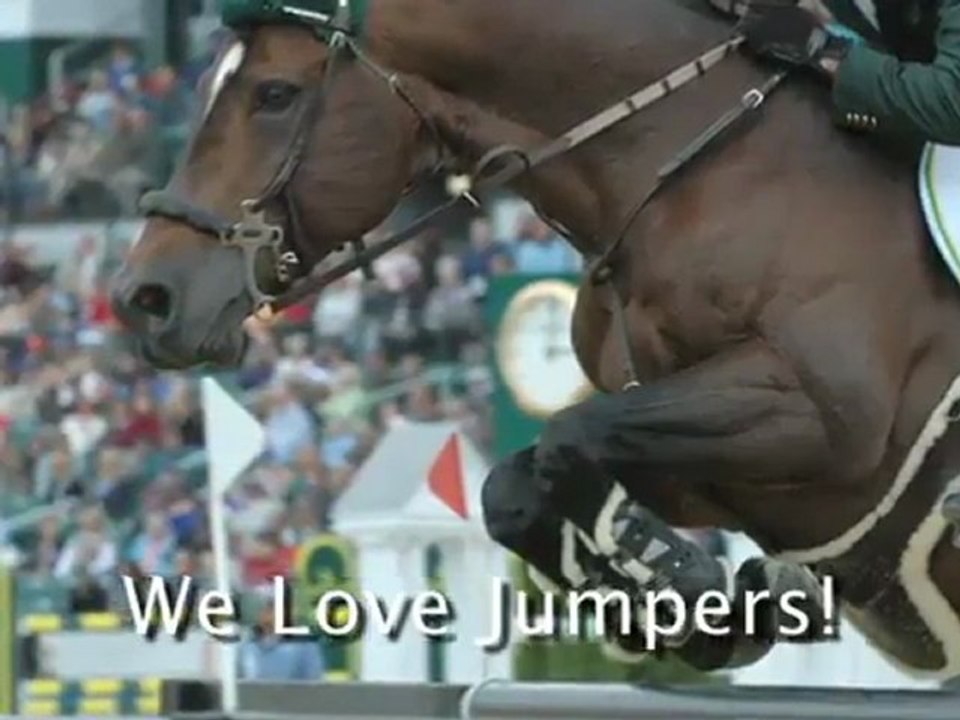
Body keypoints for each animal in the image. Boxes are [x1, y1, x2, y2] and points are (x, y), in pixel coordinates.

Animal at [110, 0, 960, 679]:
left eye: (275, 94)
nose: (144, 300)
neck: (700, 167)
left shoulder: (823, 417)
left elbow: (572, 433)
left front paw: (686, 587)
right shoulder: (722, 470)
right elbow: (518, 484)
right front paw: (689, 601)